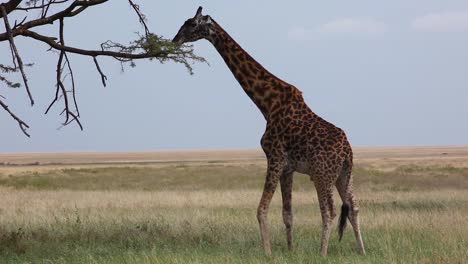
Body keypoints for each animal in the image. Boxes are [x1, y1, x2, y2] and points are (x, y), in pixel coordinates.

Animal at [172, 6, 366, 256]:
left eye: (192, 24)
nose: (175, 39)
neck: (267, 103)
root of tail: (347, 152)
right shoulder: (288, 168)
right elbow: (287, 214)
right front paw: (290, 250)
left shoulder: (274, 157)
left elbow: (261, 209)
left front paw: (268, 252)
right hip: (344, 174)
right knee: (354, 207)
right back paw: (362, 251)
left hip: (323, 174)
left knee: (330, 211)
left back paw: (322, 253)